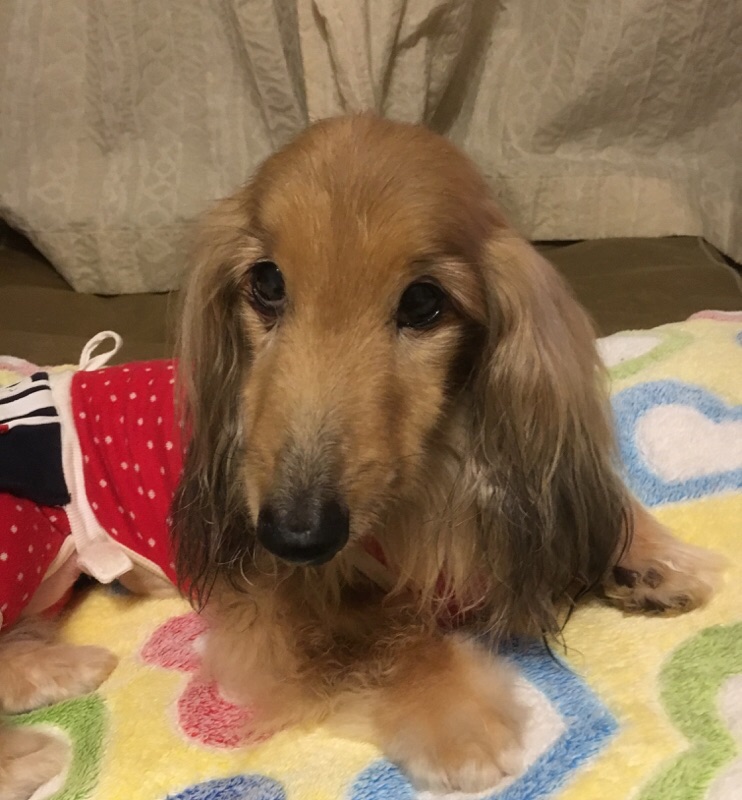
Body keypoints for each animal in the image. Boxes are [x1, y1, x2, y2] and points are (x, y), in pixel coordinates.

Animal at [0, 115, 723, 796]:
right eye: (266, 284)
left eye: (424, 301)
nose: (295, 535)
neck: (429, 478)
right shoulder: (271, 611)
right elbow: (389, 637)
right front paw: (455, 717)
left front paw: (646, 557)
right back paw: (39, 736)